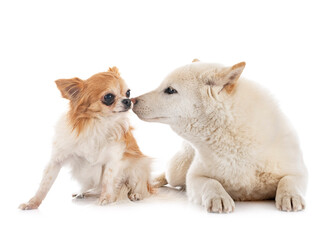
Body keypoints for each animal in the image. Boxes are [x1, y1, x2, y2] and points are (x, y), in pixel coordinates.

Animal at [134, 59, 310, 212]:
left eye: (170, 90)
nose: (132, 100)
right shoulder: (195, 177)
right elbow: (211, 183)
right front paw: (219, 198)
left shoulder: (298, 172)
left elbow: (288, 180)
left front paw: (290, 196)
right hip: (177, 171)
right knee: (167, 175)